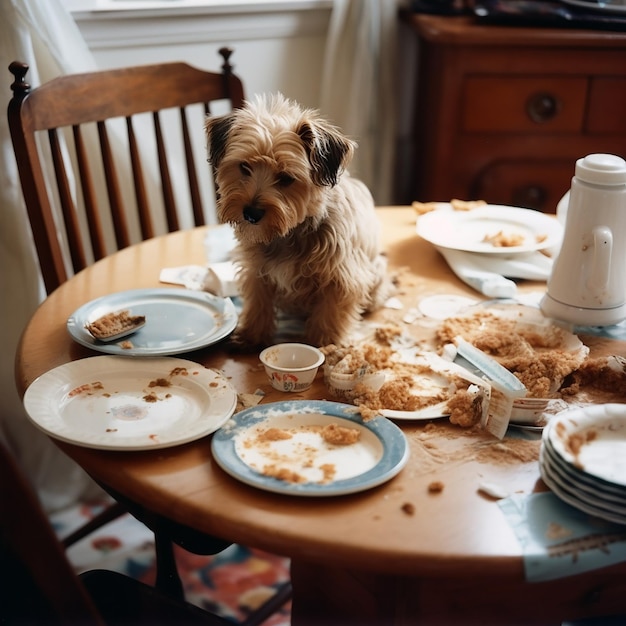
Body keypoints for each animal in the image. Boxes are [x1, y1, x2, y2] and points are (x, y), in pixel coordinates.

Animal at [205, 92, 390, 346]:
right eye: (244, 166)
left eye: (286, 178)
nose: (251, 213)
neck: (290, 232)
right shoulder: (257, 272)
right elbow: (258, 304)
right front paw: (252, 335)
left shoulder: (342, 277)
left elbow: (330, 313)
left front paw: (324, 343)